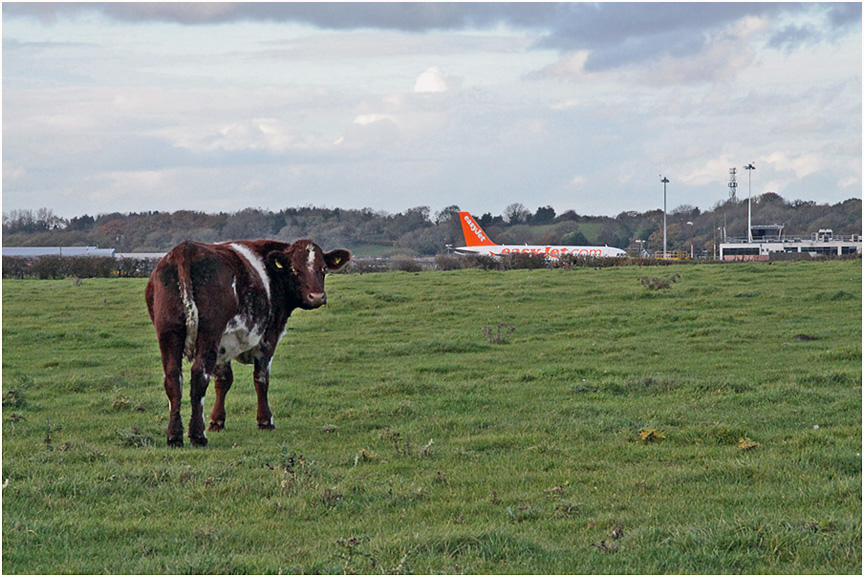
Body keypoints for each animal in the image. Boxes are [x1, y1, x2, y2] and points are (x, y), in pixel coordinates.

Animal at [145, 238, 352, 446]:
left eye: (323, 269)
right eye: (294, 269)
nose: (317, 297)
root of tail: (186, 248)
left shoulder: (223, 345)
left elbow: (223, 380)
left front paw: (217, 421)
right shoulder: (268, 338)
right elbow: (261, 379)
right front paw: (265, 421)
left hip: (168, 331)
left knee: (173, 378)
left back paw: (174, 436)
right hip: (209, 331)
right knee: (199, 375)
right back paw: (197, 435)